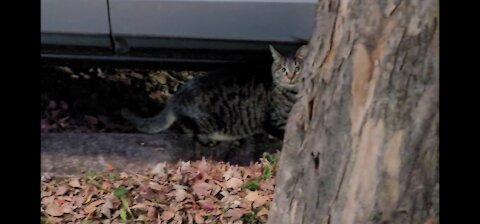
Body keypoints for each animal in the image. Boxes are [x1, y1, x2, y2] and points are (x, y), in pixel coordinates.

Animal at [121, 45, 308, 145]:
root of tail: (176, 97)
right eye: (283, 69)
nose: (291, 76)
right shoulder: (275, 122)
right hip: (208, 121)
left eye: (297, 68)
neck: (291, 93)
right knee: (190, 131)